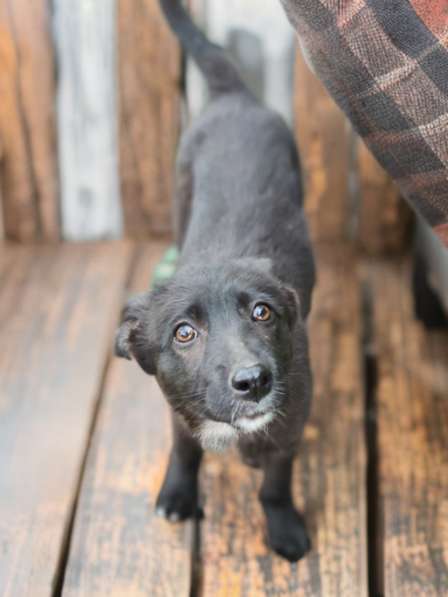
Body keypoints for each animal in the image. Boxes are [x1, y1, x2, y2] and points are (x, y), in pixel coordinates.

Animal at [115, 0, 316, 560]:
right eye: (184, 333)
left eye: (263, 312)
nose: (254, 381)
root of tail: (233, 94)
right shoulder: (177, 405)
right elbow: (185, 448)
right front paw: (177, 494)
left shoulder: (292, 423)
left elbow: (276, 482)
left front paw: (284, 528)